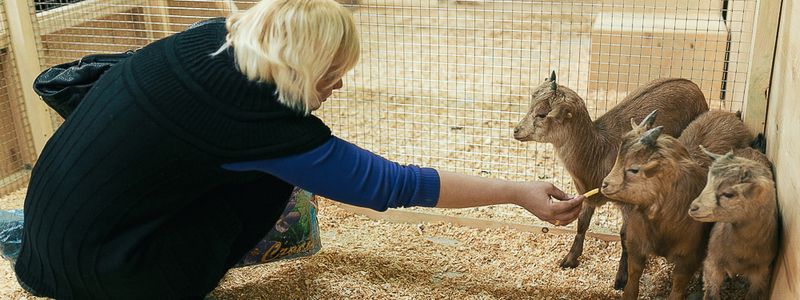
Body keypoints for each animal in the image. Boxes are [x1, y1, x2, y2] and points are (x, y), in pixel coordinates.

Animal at [512, 71, 708, 290]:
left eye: (542, 114)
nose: (516, 130)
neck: (598, 152)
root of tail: (691, 84)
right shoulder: (586, 194)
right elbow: (582, 224)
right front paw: (569, 259)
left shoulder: (629, 204)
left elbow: (625, 236)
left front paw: (622, 278)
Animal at [604, 110, 752, 300]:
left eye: (634, 169)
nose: (605, 184)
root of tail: (730, 114)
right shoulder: (636, 244)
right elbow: (633, 279)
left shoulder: (687, 258)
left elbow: (678, 288)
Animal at [688, 146, 776, 298]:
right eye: (707, 182)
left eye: (728, 194)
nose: (693, 208)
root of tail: (750, 148)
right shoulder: (712, 265)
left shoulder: (762, 273)